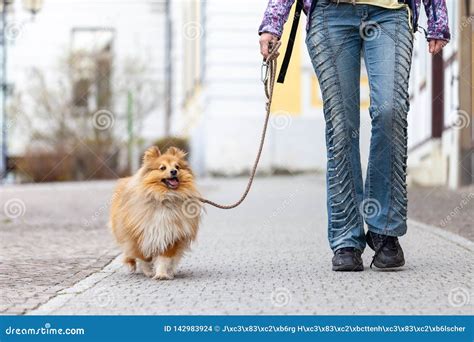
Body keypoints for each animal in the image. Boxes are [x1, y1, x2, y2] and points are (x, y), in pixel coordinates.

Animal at [110, 146, 201, 280]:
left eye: (177, 166)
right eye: (162, 168)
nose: (174, 171)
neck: (164, 198)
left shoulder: (170, 235)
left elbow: (164, 258)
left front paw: (162, 274)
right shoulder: (140, 234)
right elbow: (144, 257)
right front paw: (148, 271)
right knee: (128, 251)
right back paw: (131, 264)